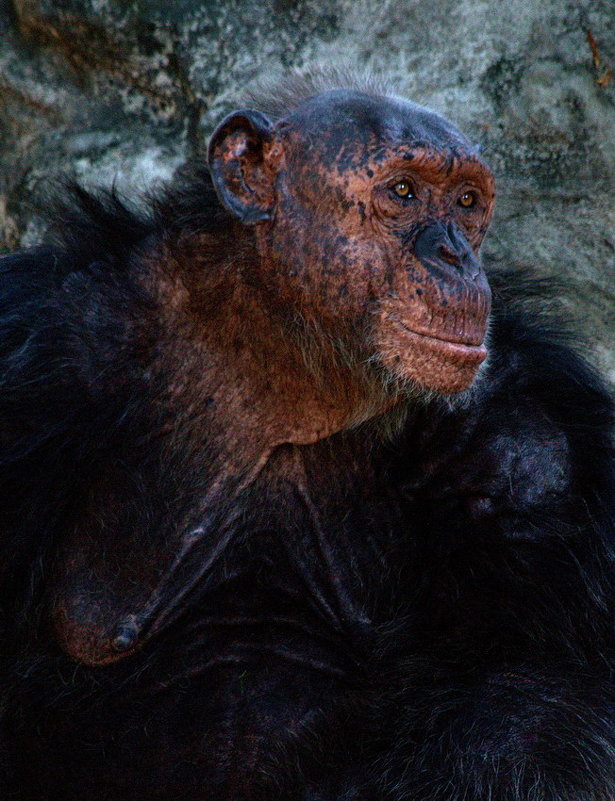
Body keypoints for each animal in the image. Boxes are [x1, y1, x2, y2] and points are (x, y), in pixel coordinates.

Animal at [0, 70, 612, 800]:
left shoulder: (539, 396)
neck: (279, 358)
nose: (454, 255)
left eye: (466, 201)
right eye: (403, 191)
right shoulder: (43, 340)